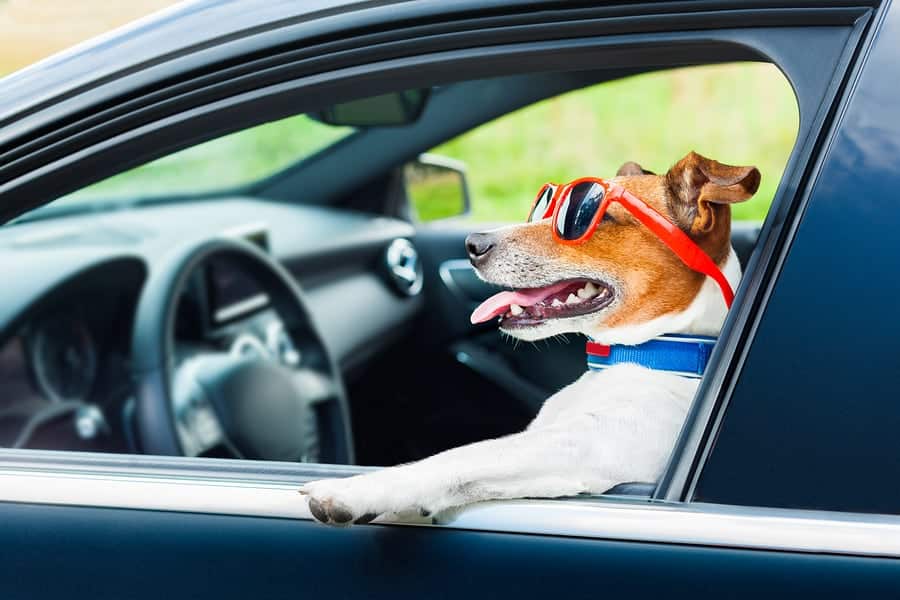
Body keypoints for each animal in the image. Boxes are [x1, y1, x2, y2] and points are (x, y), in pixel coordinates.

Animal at [300, 151, 760, 524]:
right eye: (545, 204)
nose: (473, 242)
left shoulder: (586, 446)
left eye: (584, 217)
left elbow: (460, 455)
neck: (645, 354)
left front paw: (355, 489)